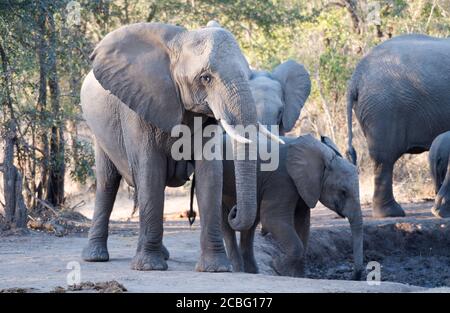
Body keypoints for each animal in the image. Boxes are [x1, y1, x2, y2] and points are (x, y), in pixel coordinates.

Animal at [79, 22, 282, 270]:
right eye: (205, 78)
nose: (233, 212)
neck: (178, 41)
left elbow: (210, 174)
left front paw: (216, 269)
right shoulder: (137, 107)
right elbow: (150, 170)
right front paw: (150, 267)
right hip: (98, 130)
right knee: (108, 182)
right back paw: (95, 256)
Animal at [221, 134, 366, 278]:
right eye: (343, 192)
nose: (353, 276)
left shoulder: (303, 185)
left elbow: (303, 223)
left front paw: (298, 276)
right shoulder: (281, 178)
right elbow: (272, 219)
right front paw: (279, 268)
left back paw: (251, 272)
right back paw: (238, 270)